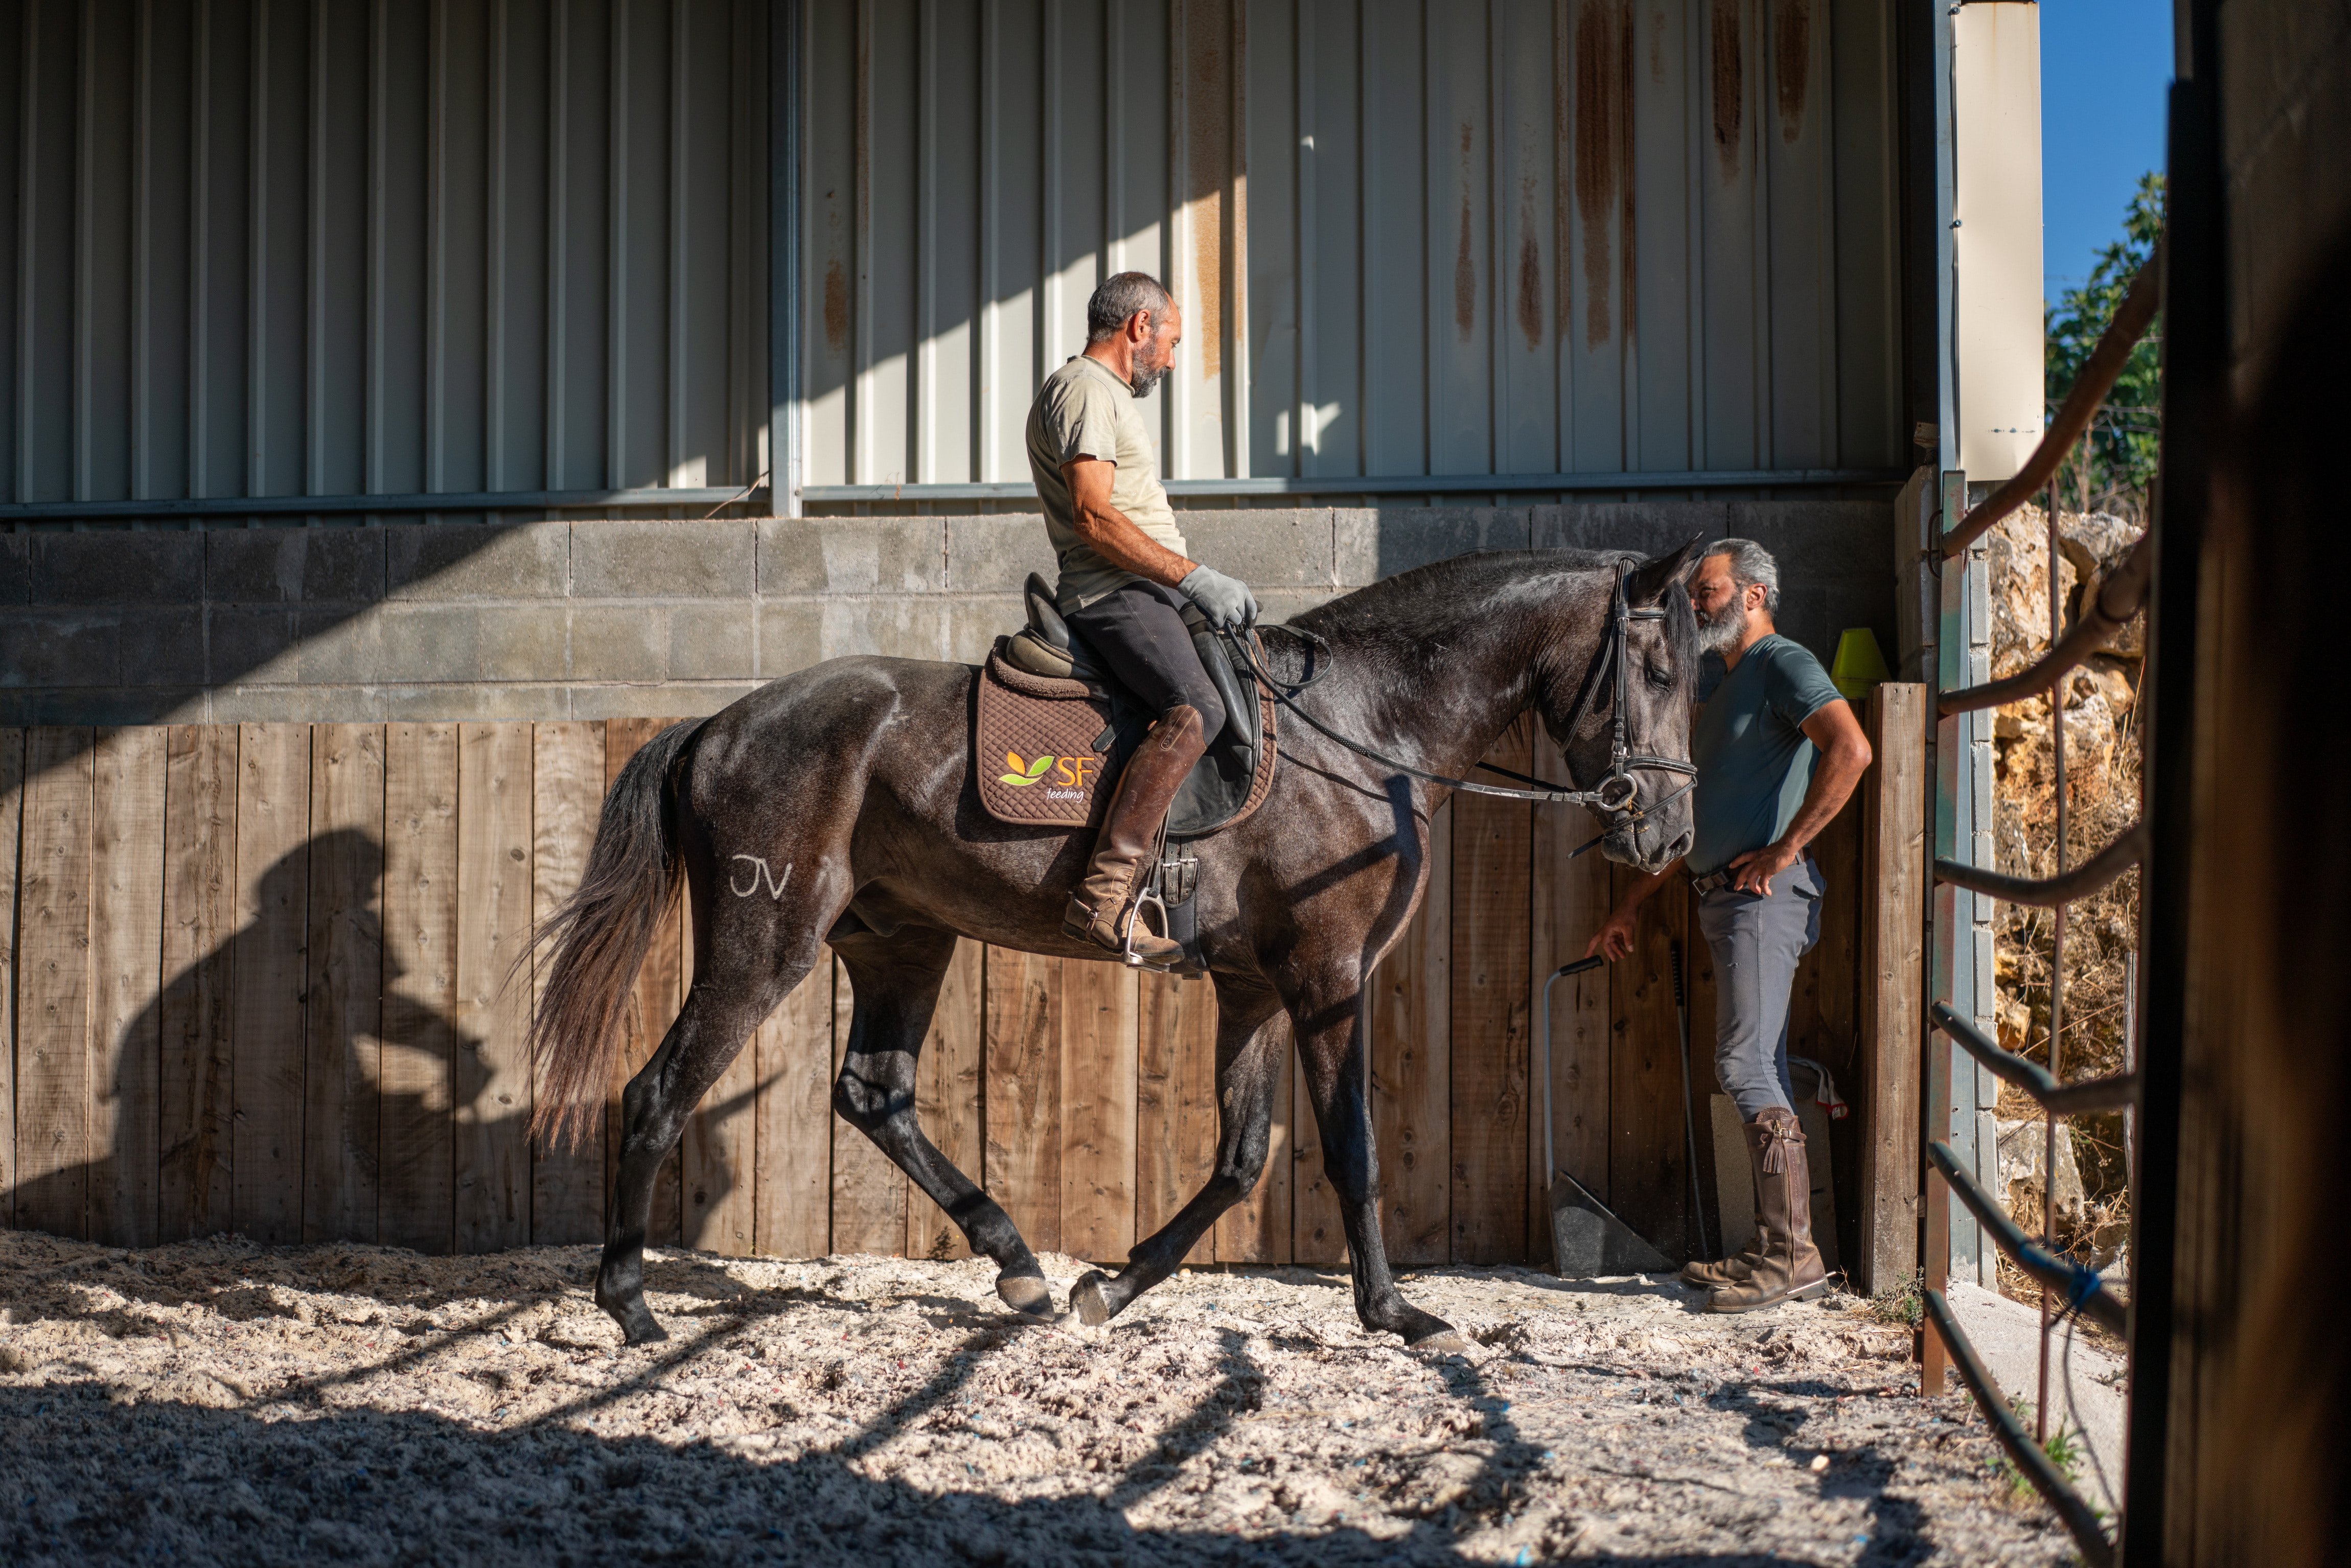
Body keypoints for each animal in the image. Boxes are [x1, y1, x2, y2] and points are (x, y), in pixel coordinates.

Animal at [527, 540, 1705, 1349]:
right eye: (1655, 670)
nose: (1668, 834)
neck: (1365, 729)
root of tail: (718, 724)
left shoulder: (1254, 986)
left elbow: (1242, 1156)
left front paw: (1110, 1285)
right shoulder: (1326, 974)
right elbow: (1349, 1146)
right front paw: (1394, 1312)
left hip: (902, 940)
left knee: (874, 1092)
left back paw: (1015, 1263)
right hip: (766, 937)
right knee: (660, 1089)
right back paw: (629, 1305)